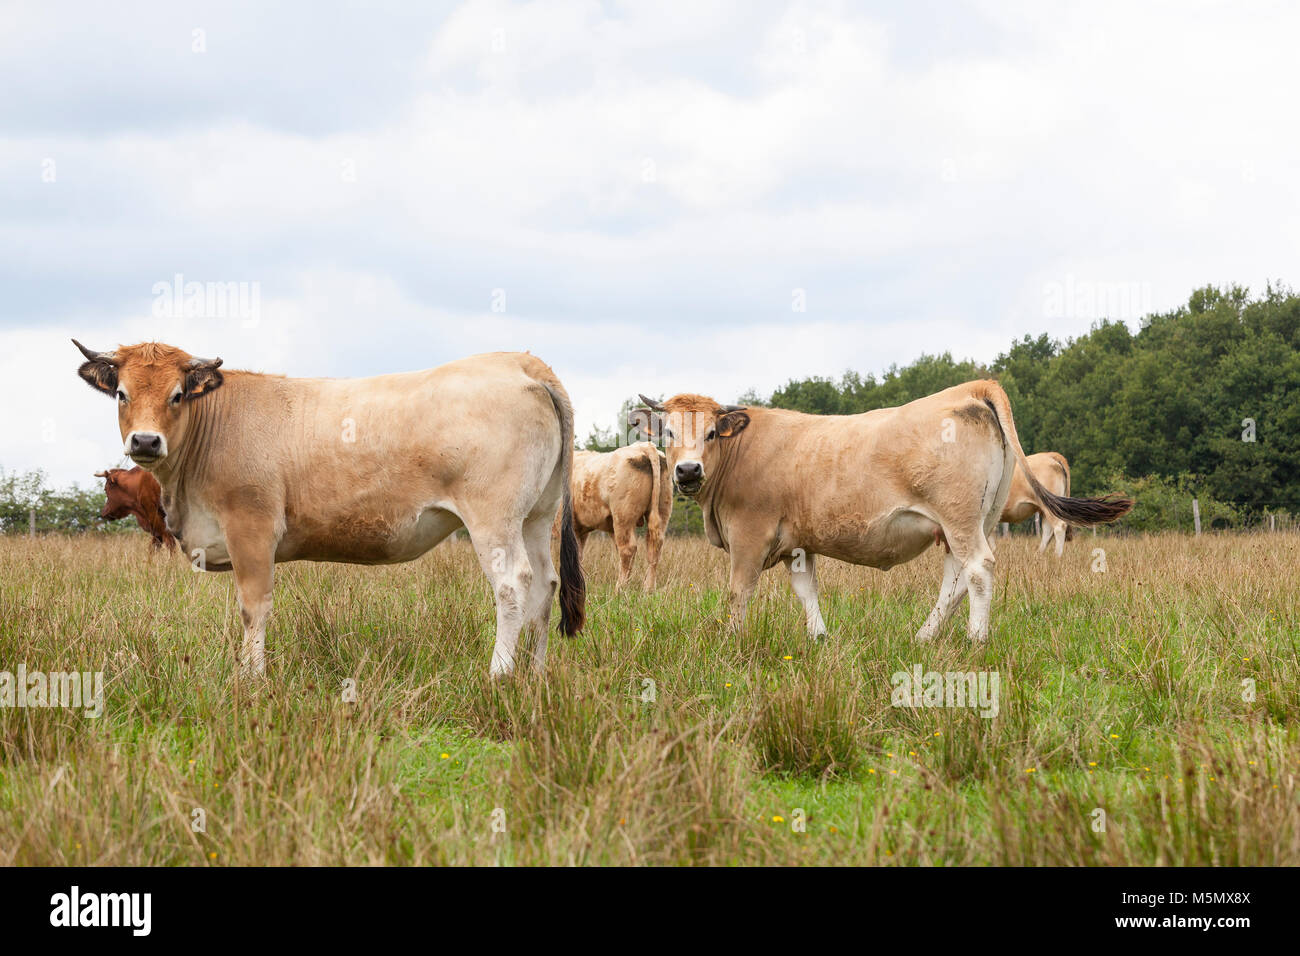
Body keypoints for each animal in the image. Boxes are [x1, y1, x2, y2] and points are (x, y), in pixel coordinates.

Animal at [73, 339, 585, 678]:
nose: (145, 441)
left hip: (493, 518)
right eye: (122, 394)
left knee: (513, 584)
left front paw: (251, 678)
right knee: (546, 584)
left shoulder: (251, 528)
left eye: (177, 395)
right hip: (536, 516)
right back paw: (534, 674)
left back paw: (499, 674)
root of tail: (522, 361)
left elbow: (253, 606)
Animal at [568, 442, 673, 590]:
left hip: (623, 516)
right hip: (663, 509)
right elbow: (579, 554)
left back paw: (620, 588)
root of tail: (644, 446)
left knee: (628, 549)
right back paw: (648, 588)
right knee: (654, 546)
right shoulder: (580, 528)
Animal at [628, 381, 1131, 643]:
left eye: (712, 432)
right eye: (667, 432)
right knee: (954, 579)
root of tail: (969, 387)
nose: (687, 471)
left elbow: (738, 593)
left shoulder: (750, 537)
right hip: (974, 521)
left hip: (960, 519)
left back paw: (975, 639)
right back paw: (924, 637)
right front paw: (819, 637)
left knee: (978, 570)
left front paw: (730, 640)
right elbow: (807, 591)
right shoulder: (798, 544)